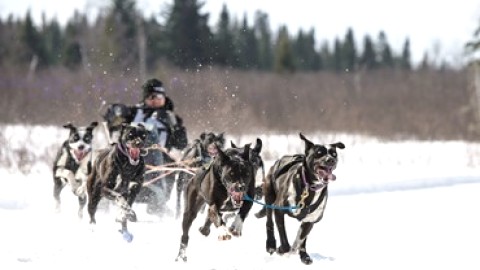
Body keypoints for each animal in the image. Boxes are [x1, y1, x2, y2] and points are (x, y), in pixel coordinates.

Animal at [256, 134, 344, 264]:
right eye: (318, 153)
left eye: (334, 154)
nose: (331, 160)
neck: (309, 188)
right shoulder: (279, 210)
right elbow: (285, 240)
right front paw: (281, 249)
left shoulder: (310, 220)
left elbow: (300, 239)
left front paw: (301, 254)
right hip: (269, 197)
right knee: (269, 221)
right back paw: (271, 244)